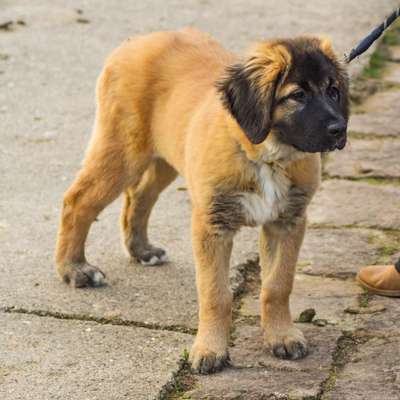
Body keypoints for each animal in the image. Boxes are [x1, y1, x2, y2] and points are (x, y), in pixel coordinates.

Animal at [55, 28, 346, 376]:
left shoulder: (287, 221)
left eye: (333, 91)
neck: (266, 156)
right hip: (123, 151)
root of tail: (138, 40)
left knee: (140, 194)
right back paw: (75, 268)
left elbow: (278, 285)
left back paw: (141, 249)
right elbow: (215, 294)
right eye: (297, 96)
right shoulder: (212, 225)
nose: (340, 130)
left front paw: (281, 337)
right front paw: (210, 350)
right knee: (78, 201)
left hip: (164, 155)